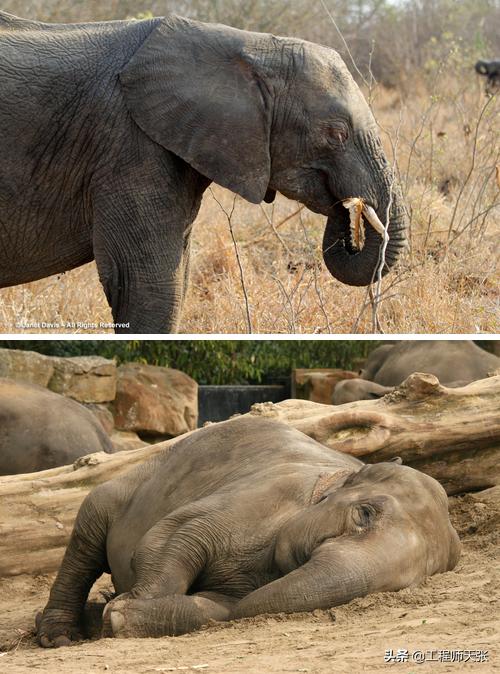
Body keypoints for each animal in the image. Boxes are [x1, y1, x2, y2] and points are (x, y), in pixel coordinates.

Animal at [0, 12, 408, 333]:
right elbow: (147, 284)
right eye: (336, 133)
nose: (351, 221)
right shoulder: (130, 148)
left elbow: (174, 281)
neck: (250, 47)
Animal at [37, 416, 459, 646]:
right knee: (85, 541)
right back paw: (59, 636)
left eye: (405, 583)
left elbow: (215, 608)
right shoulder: (264, 495)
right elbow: (171, 535)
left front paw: (119, 613)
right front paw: (118, 610)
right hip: (118, 492)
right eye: (365, 514)